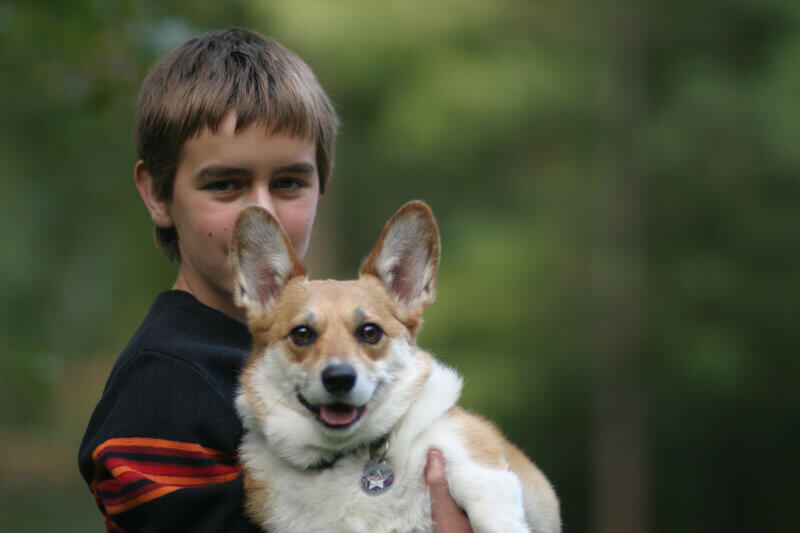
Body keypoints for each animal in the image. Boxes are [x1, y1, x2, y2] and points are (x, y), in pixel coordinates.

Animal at [228, 201, 560, 532]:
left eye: (370, 332)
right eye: (301, 334)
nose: (339, 378)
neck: (350, 455)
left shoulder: (471, 455)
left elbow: (486, 504)